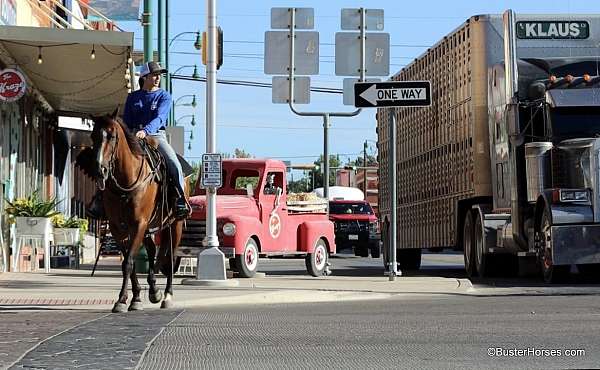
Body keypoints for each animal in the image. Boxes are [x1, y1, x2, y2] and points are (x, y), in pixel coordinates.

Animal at [78, 110, 185, 312]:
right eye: (93, 136)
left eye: (112, 136)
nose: (99, 170)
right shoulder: (118, 228)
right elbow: (129, 261)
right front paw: (134, 298)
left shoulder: (138, 224)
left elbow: (128, 262)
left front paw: (122, 300)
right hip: (149, 227)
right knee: (151, 250)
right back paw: (154, 290)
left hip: (175, 224)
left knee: (171, 257)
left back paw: (167, 295)